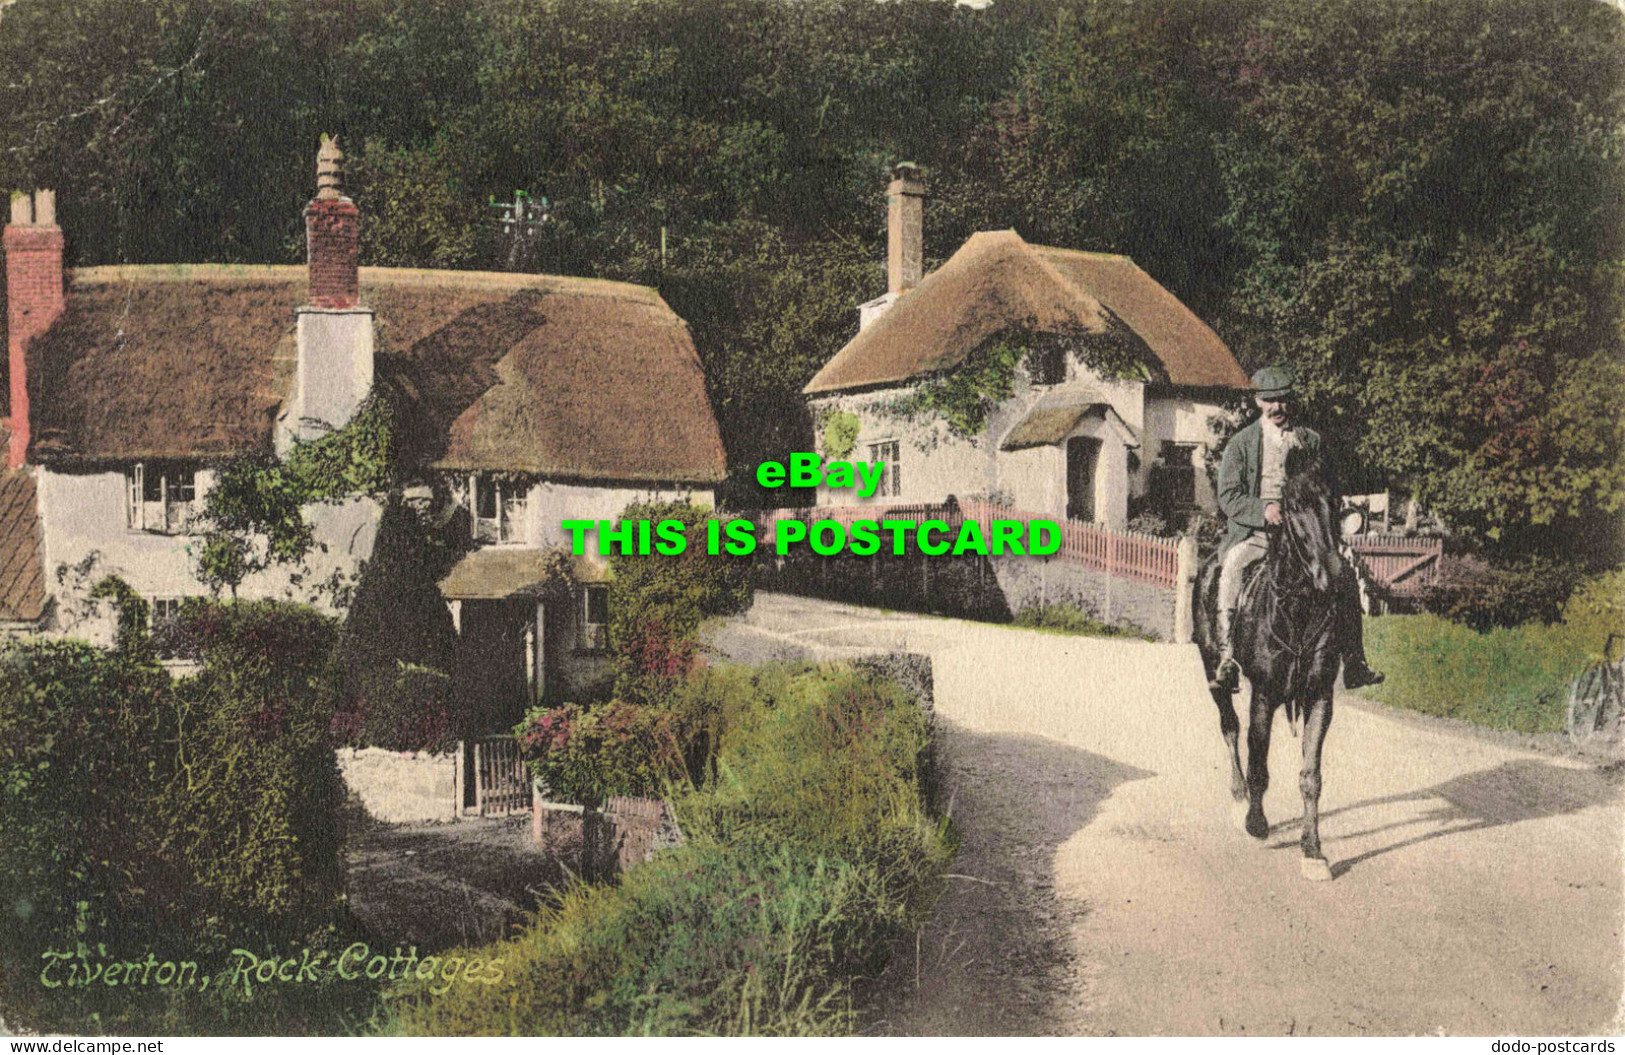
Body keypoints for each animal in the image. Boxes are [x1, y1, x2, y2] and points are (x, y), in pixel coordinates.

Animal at [1196, 468, 1345, 877]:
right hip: (1213, 671)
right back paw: (1238, 799)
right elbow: (1258, 763)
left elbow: (1311, 777)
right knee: (1230, 729)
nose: (1332, 575)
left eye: (1336, 503)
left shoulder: (1319, 698)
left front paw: (1313, 851)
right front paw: (1256, 822)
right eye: (1292, 508)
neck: (1296, 611)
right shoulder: (1264, 695)